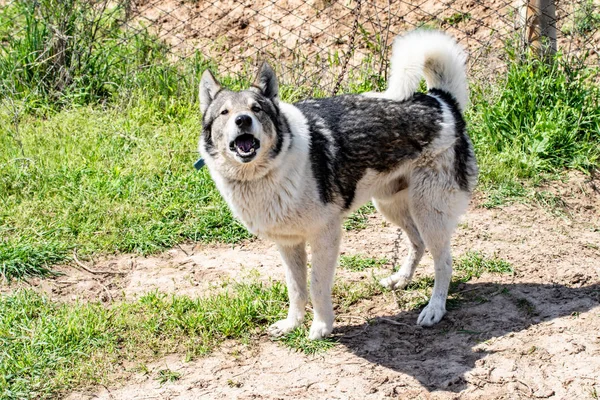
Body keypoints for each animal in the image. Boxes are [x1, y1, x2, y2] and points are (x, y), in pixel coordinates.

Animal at [197, 29, 478, 340]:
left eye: (256, 109)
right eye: (224, 113)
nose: (243, 120)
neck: (268, 170)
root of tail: (441, 101)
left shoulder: (325, 235)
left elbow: (317, 286)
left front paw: (321, 327)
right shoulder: (288, 243)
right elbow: (295, 289)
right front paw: (292, 324)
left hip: (429, 210)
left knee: (444, 262)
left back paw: (435, 308)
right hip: (391, 205)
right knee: (417, 243)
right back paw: (400, 280)